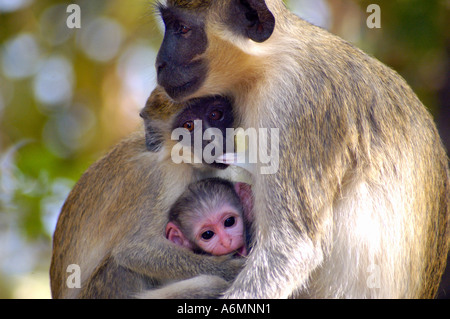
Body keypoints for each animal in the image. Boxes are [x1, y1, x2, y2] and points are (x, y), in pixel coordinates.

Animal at [49, 87, 243, 300]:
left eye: (215, 114)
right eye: (188, 126)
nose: (213, 141)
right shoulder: (164, 178)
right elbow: (133, 249)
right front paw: (229, 269)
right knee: (119, 266)